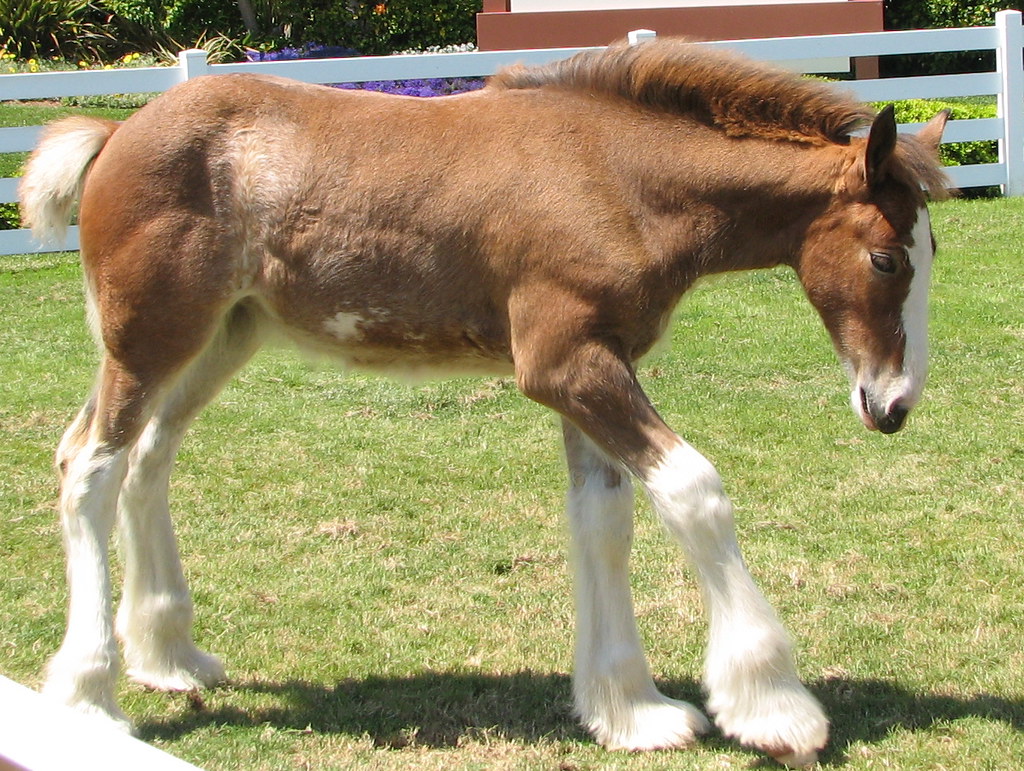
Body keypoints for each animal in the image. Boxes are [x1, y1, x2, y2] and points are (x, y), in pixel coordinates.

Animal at [19, 38, 948, 766]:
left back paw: (171, 655)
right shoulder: (566, 363)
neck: (615, 175)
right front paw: (774, 709)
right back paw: (90, 695)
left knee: (147, 459)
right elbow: (694, 491)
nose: (893, 402)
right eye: (886, 259)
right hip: (148, 339)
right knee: (89, 464)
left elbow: (603, 520)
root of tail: (116, 132)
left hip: (221, 336)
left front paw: (630, 710)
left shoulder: (592, 366)